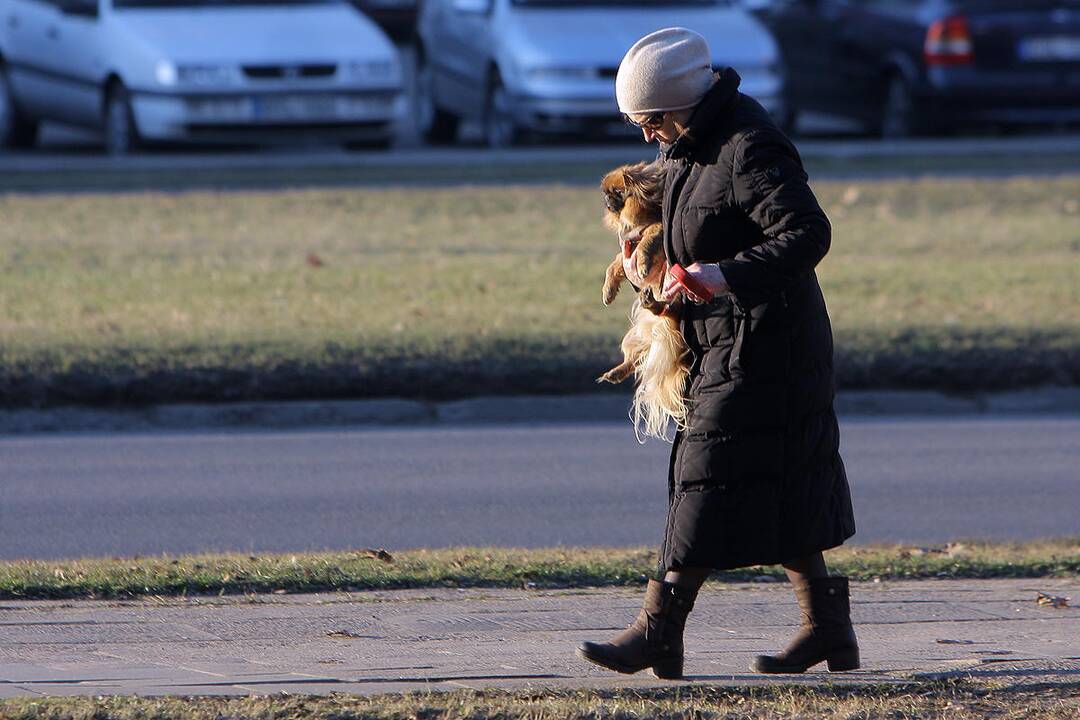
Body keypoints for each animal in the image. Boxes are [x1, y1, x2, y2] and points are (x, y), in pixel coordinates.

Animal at [600, 160, 691, 440]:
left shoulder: (656, 228)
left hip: (678, 292)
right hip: (633, 338)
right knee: (635, 359)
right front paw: (608, 290)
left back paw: (655, 303)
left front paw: (642, 263)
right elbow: (615, 264)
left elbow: (648, 240)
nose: (606, 200)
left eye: (617, 192)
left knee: (672, 308)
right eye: (606, 193)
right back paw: (615, 372)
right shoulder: (627, 245)